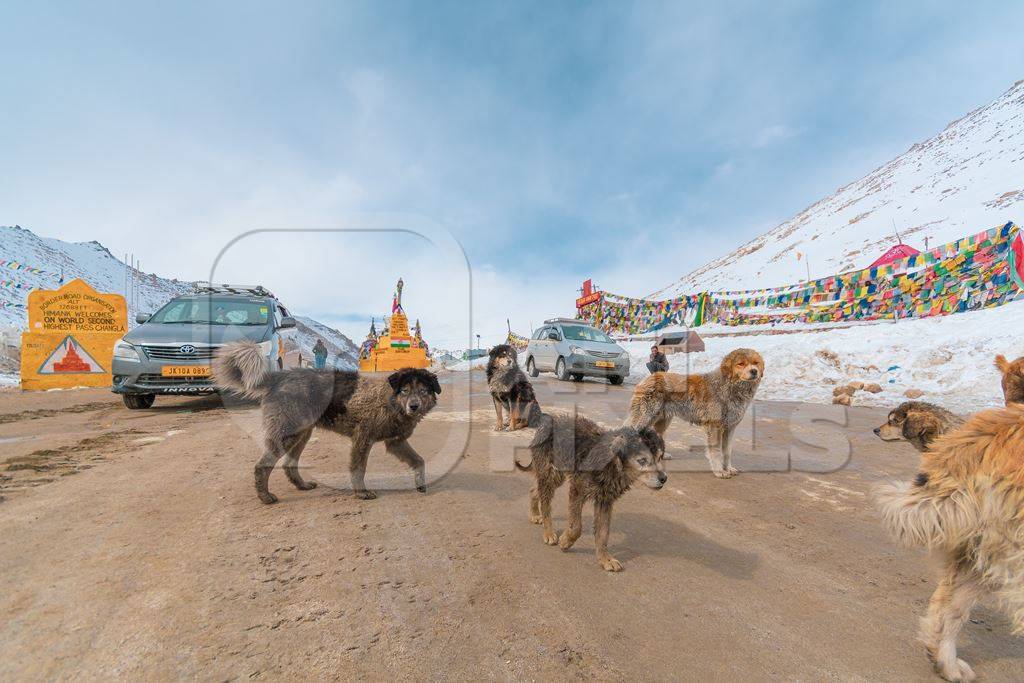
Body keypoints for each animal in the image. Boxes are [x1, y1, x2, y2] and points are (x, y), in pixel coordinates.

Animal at [214, 344, 438, 505]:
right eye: (405, 390)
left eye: (423, 391)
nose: (414, 407)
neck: (388, 400)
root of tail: (279, 377)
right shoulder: (363, 438)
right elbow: (359, 468)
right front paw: (361, 493)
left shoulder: (395, 442)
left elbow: (419, 461)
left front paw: (420, 483)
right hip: (288, 435)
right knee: (262, 466)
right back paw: (265, 497)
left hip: (301, 434)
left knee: (289, 464)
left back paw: (302, 486)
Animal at [516, 411, 667, 573]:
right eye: (642, 460)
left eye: (660, 457)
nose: (664, 478)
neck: (612, 463)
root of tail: (546, 422)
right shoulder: (577, 489)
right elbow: (576, 527)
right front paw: (566, 541)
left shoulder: (605, 500)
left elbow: (603, 533)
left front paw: (605, 559)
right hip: (550, 473)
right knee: (545, 503)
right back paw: (548, 532)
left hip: (557, 474)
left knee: (534, 489)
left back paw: (534, 514)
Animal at [622, 350, 761, 479]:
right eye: (741, 364)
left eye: (756, 363)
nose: (754, 371)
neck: (729, 386)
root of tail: (648, 378)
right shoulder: (714, 427)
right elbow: (715, 451)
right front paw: (719, 471)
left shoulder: (730, 428)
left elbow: (727, 451)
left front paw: (729, 468)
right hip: (644, 416)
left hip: (661, 420)